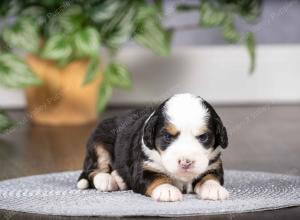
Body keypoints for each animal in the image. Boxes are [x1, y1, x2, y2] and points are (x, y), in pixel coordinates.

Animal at [76, 93, 229, 201]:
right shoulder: (144, 168)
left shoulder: (213, 165)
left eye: (203, 137)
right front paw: (167, 190)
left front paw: (214, 189)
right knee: (92, 170)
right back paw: (107, 180)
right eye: (167, 136)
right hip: (98, 144)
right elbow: (157, 178)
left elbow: (210, 177)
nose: (186, 162)